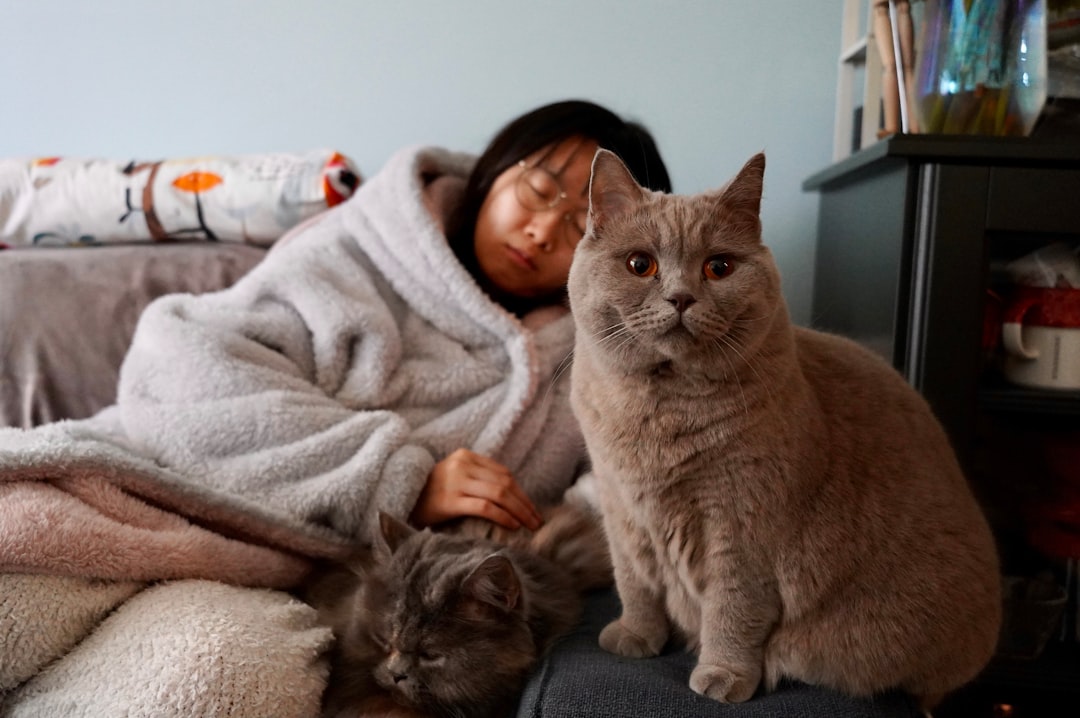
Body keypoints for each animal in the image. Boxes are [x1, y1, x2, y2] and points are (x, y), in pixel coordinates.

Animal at [570, 147, 997, 708]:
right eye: (641, 264)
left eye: (719, 267)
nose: (681, 297)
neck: (656, 413)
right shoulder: (621, 509)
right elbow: (635, 582)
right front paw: (636, 637)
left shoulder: (742, 523)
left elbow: (733, 606)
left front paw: (723, 677)